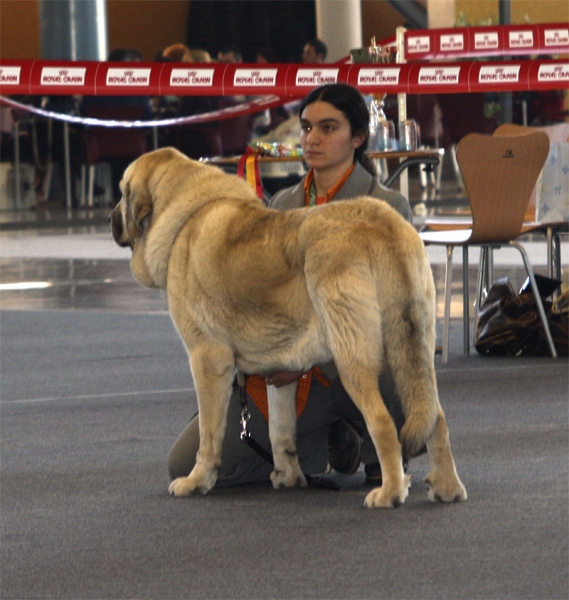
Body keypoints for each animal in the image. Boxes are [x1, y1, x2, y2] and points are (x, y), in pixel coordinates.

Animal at [110, 148, 466, 508]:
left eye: (122, 192)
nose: (111, 221)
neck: (183, 217)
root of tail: (384, 224)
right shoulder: (277, 373)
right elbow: (280, 430)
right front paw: (289, 475)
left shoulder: (207, 360)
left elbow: (208, 437)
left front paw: (197, 481)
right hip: (413, 348)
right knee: (435, 416)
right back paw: (447, 487)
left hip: (355, 358)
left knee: (382, 421)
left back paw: (390, 491)